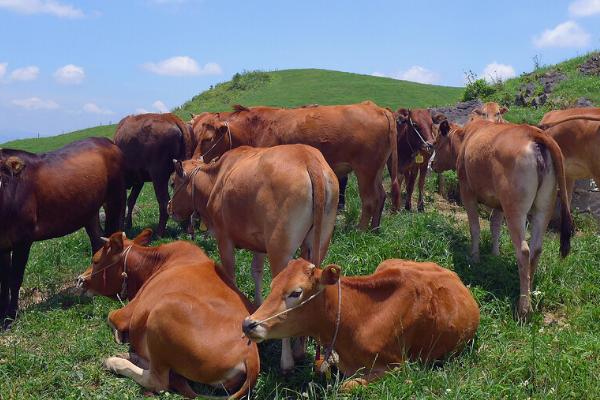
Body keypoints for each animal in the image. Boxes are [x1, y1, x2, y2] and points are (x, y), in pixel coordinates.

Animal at [0, 139, 125, 326]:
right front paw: (2, 314)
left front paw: (10, 316)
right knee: (97, 241)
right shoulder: (3, 244)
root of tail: (106, 141)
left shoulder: (23, 238)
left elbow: (14, 278)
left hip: (115, 198)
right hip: (89, 211)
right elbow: (3, 281)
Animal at [77, 230, 258, 398]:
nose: (79, 280)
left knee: (158, 381)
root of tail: (251, 356)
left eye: (95, 260)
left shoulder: (126, 313)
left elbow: (110, 316)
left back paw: (115, 362)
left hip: (162, 309)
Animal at [191, 101, 398, 230]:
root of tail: (378, 108)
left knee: (370, 200)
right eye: (193, 135)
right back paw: (375, 228)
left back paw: (360, 230)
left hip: (366, 170)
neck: (256, 128)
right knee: (381, 196)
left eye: (208, 138)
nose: (194, 159)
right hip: (376, 171)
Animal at [428, 119, 576, 318]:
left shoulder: (467, 190)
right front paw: (495, 254)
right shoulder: (498, 203)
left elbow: (475, 227)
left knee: (524, 251)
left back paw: (523, 308)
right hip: (544, 207)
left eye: (436, 143)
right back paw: (529, 291)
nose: (432, 164)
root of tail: (533, 133)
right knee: (536, 249)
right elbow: (495, 226)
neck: (465, 137)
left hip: (515, 208)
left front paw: (474, 257)